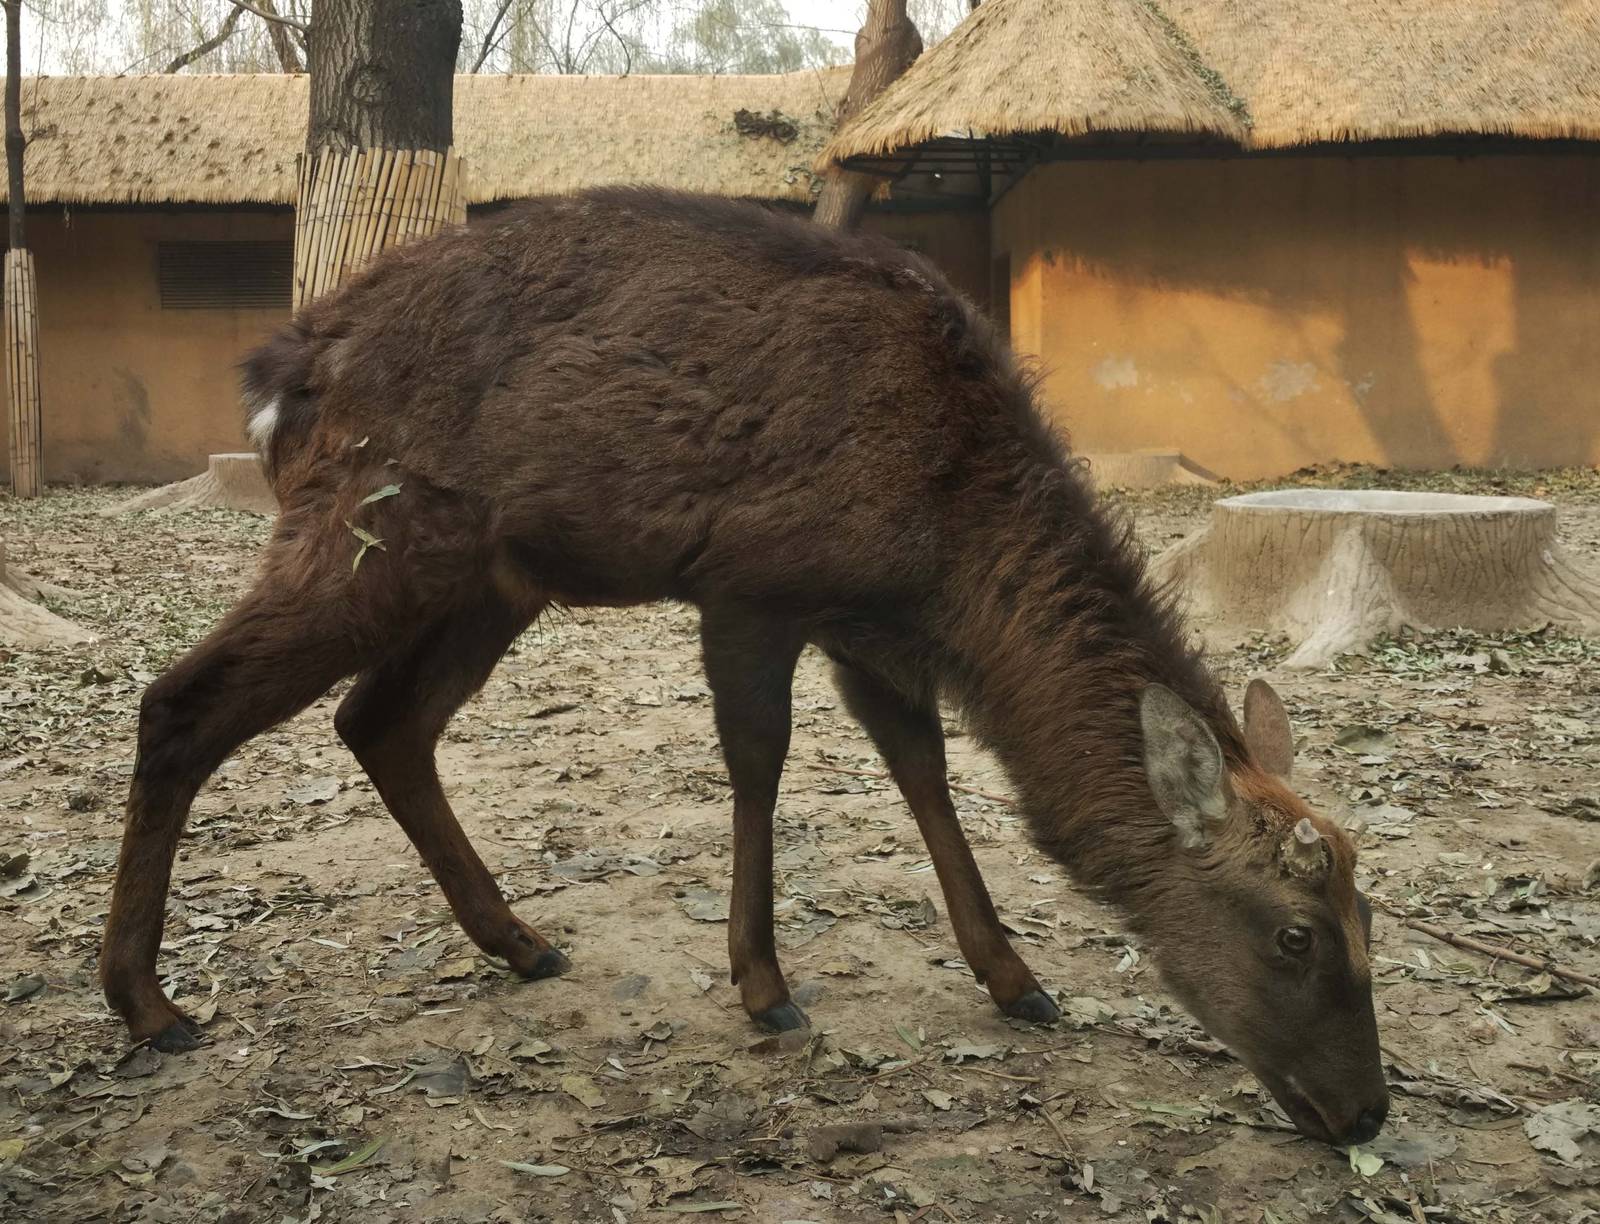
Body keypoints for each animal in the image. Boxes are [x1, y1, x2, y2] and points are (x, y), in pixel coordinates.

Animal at [99, 187, 1388, 1146]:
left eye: (1368, 911)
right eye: (1295, 932)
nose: (1367, 1112)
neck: (945, 545)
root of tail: (277, 376)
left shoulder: (868, 630)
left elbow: (923, 771)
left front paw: (1015, 978)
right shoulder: (751, 583)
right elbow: (760, 762)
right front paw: (765, 986)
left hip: (490, 578)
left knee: (380, 721)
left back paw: (519, 940)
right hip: (373, 531)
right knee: (180, 702)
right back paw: (148, 1005)